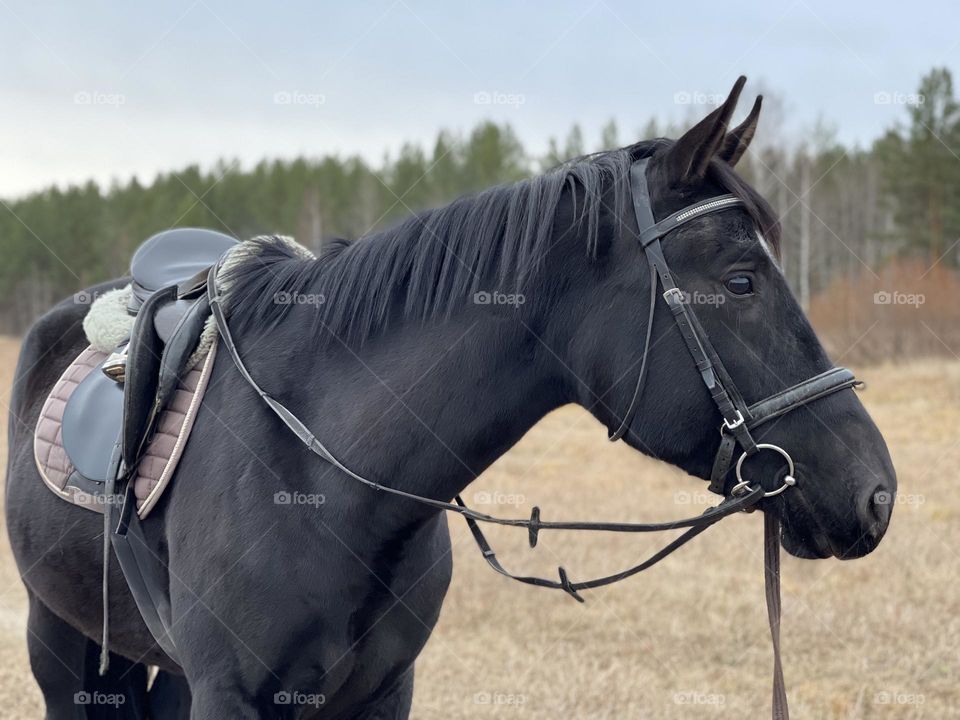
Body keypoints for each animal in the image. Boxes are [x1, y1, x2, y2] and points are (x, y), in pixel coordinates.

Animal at [5, 78, 895, 718]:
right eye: (741, 281)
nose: (877, 493)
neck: (320, 473)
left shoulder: (381, 692)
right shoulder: (230, 696)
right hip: (61, 644)